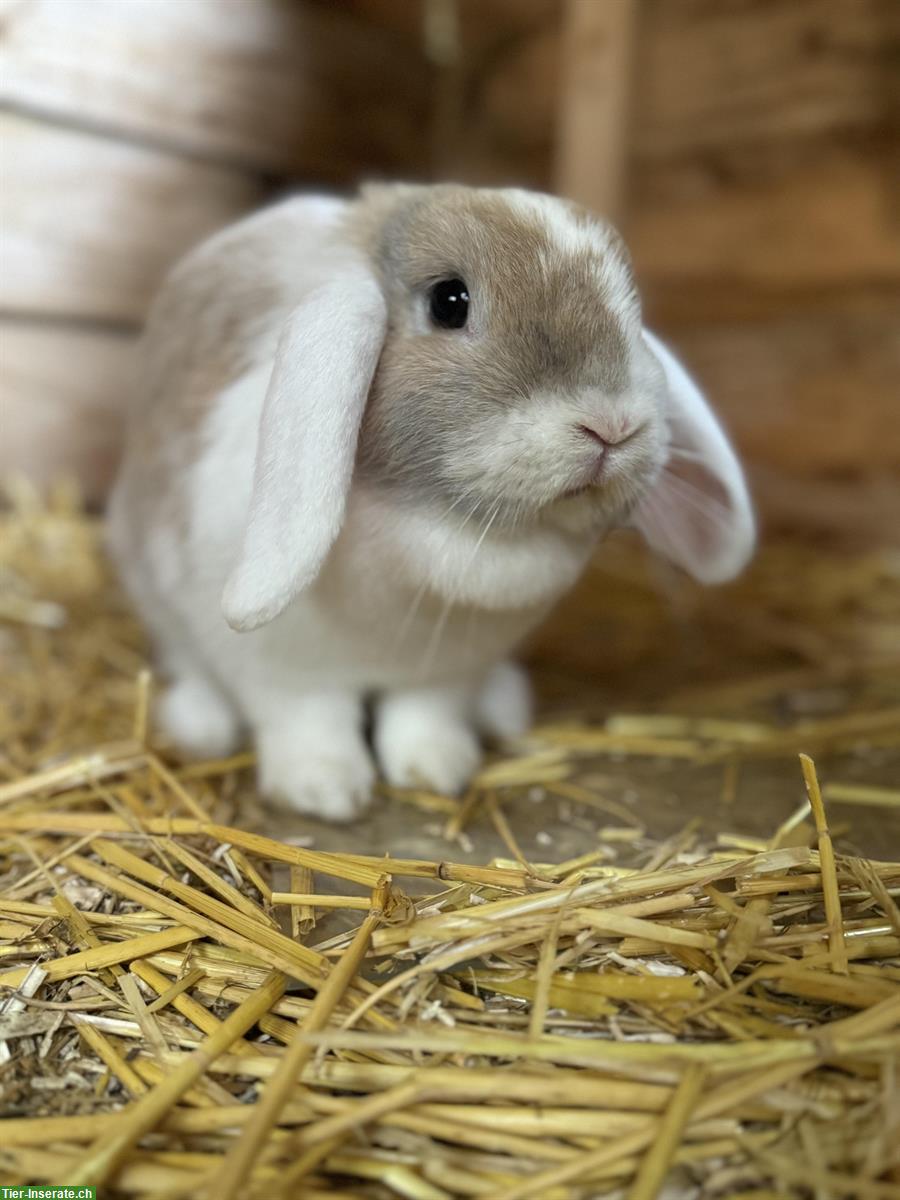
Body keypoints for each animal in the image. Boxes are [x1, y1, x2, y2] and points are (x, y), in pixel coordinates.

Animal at [105, 184, 758, 825]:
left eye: (632, 309)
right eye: (449, 301)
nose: (614, 426)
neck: (438, 531)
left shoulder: (444, 673)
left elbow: (424, 719)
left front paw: (439, 770)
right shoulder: (286, 673)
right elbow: (309, 723)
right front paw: (324, 791)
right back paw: (201, 725)